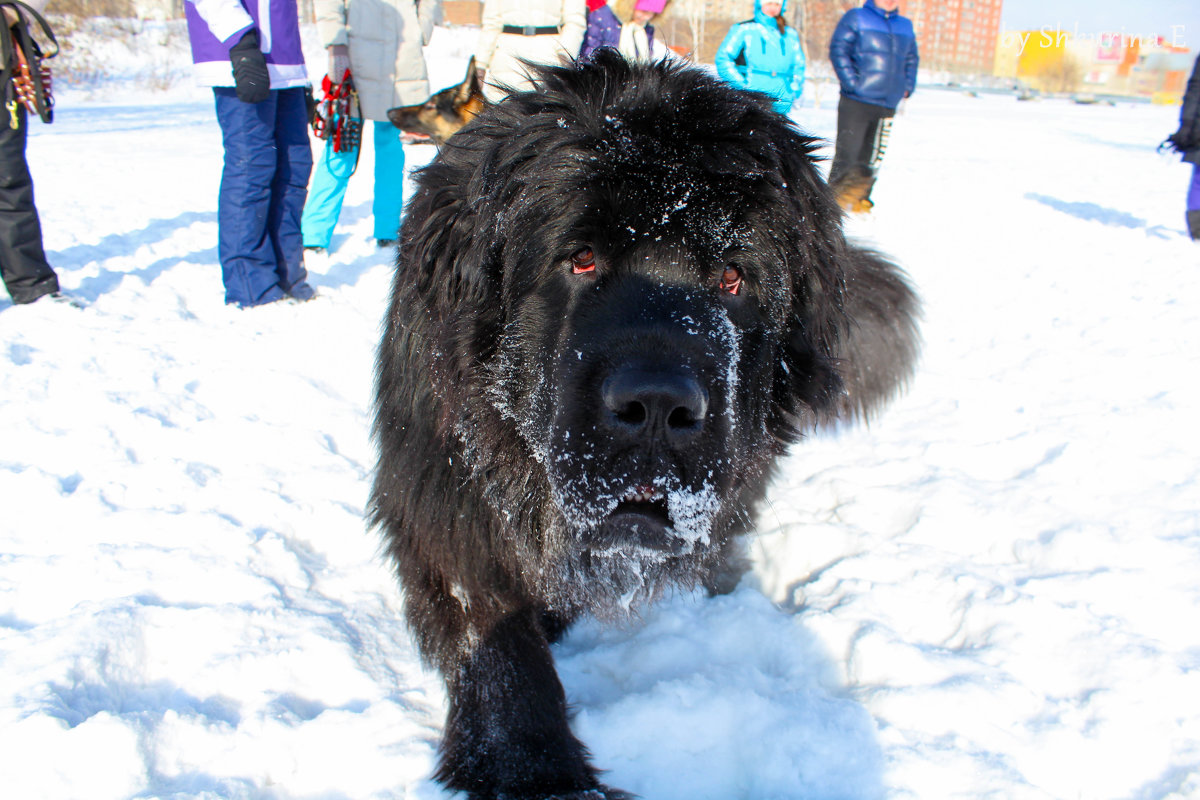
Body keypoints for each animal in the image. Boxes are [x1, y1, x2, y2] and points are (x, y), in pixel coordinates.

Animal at [372, 53, 916, 796]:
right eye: (580, 259)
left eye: (733, 279)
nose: (658, 406)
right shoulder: (444, 486)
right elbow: (493, 636)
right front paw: (536, 768)